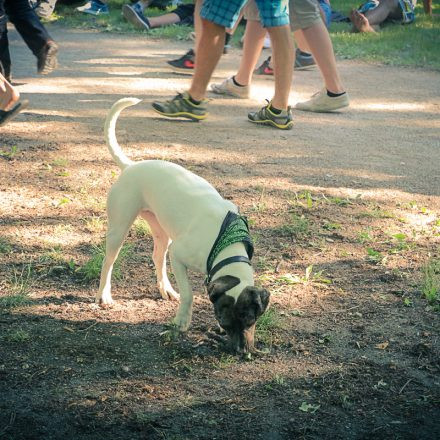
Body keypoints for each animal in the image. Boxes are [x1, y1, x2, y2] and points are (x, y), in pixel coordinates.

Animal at [96, 98, 268, 352]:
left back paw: (165, 289)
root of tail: (131, 166)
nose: (241, 352)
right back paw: (104, 295)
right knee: (109, 261)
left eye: (251, 319)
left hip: (161, 230)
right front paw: (182, 322)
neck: (225, 244)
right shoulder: (178, 255)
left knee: (157, 257)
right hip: (119, 227)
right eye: (223, 322)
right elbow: (189, 293)